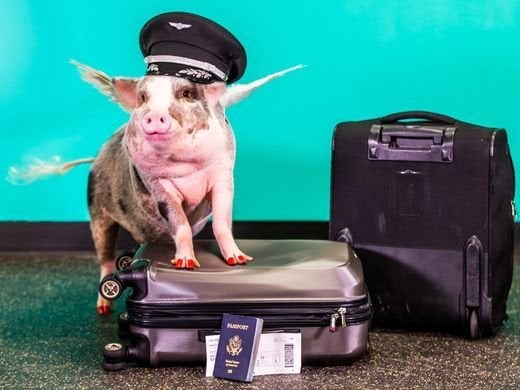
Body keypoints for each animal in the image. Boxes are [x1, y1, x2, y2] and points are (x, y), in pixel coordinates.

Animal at [54, 62, 300, 316]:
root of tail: (96, 157)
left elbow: (222, 223)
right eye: (143, 97)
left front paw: (240, 260)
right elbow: (179, 222)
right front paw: (186, 264)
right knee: (105, 259)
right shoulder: (159, 187)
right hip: (97, 212)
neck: (187, 169)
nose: (154, 115)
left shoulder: (223, 178)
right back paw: (103, 309)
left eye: (186, 93)